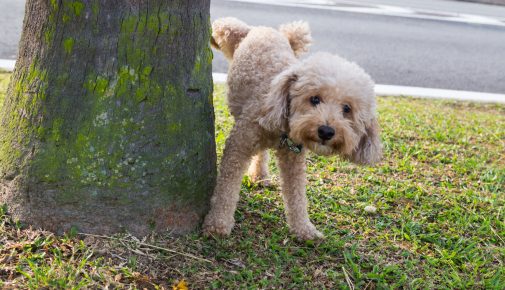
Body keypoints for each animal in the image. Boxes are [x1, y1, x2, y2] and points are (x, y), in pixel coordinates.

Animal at [203, 17, 380, 240]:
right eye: (314, 99)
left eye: (347, 109)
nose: (326, 131)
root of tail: (262, 29)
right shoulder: (239, 145)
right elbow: (226, 187)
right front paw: (218, 223)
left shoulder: (293, 158)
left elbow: (296, 195)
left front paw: (304, 229)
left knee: (261, 154)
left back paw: (260, 175)